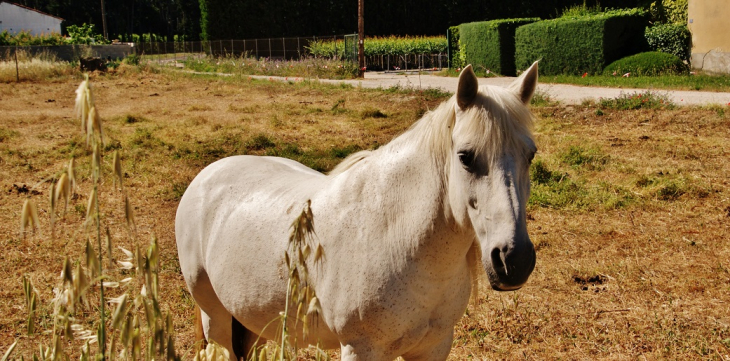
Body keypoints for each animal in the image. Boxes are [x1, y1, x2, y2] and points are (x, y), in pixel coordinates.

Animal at [176, 63, 536, 358]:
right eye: (465, 156)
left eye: (530, 154)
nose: (514, 260)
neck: (397, 238)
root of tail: (207, 176)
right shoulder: (360, 348)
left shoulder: (434, 346)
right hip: (216, 319)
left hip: (252, 320)